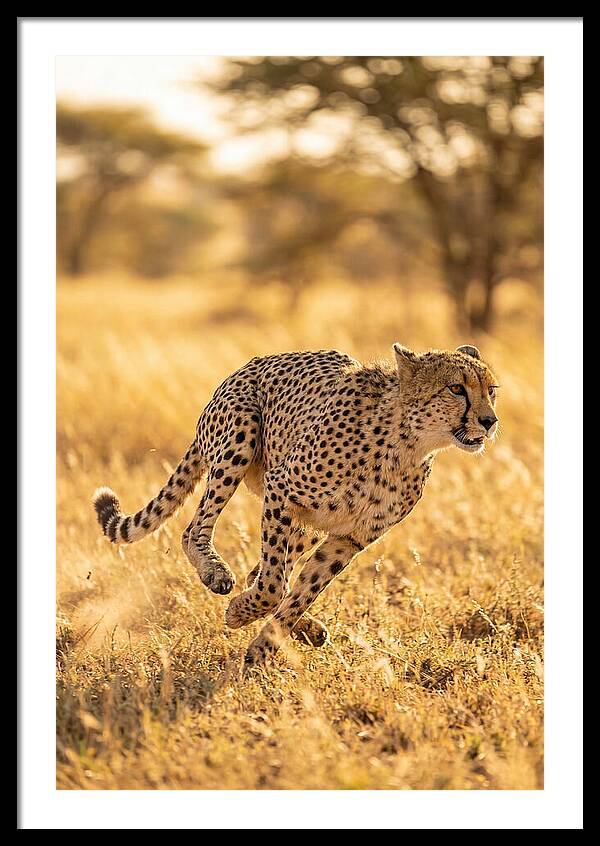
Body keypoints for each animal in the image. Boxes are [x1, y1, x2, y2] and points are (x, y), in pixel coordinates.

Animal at [93, 342, 499, 669]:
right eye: (456, 388)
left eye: (491, 390)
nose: (489, 421)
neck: (407, 443)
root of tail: (246, 366)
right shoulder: (281, 490)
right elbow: (274, 585)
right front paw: (240, 614)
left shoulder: (349, 538)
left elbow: (302, 590)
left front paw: (264, 646)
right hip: (240, 436)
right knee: (197, 531)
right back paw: (216, 573)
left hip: (309, 524)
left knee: (263, 570)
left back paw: (307, 629)